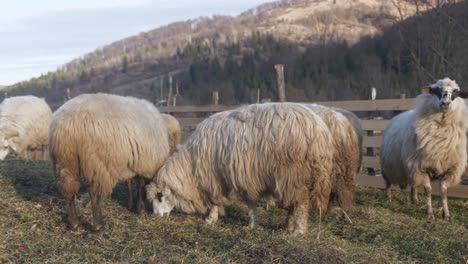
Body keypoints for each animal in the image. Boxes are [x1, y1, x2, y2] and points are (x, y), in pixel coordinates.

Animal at [49, 94, 170, 230]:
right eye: (160, 197)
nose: (160, 215)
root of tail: (69, 123)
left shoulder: (130, 162)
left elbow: (129, 182)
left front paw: (131, 205)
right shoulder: (142, 162)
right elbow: (139, 183)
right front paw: (140, 208)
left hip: (65, 160)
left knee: (69, 189)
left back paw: (74, 223)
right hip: (99, 164)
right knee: (94, 194)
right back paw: (98, 225)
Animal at [145, 102, 332, 234]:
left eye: (160, 196)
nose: (156, 216)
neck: (192, 164)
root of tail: (319, 129)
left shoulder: (218, 176)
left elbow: (218, 199)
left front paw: (211, 218)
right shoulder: (243, 175)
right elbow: (249, 200)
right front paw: (252, 223)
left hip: (293, 173)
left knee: (302, 202)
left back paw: (298, 230)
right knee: (297, 202)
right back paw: (289, 225)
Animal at [382, 77, 466, 222]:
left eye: (456, 92)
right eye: (436, 90)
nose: (446, 103)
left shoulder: (448, 168)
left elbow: (444, 191)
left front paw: (447, 215)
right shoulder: (421, 166)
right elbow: (428, 191)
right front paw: (430, 214)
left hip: (409, 168)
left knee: (414, 185)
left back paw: (415, 200)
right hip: (389, 166)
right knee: (388, 182)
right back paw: (389, 198)